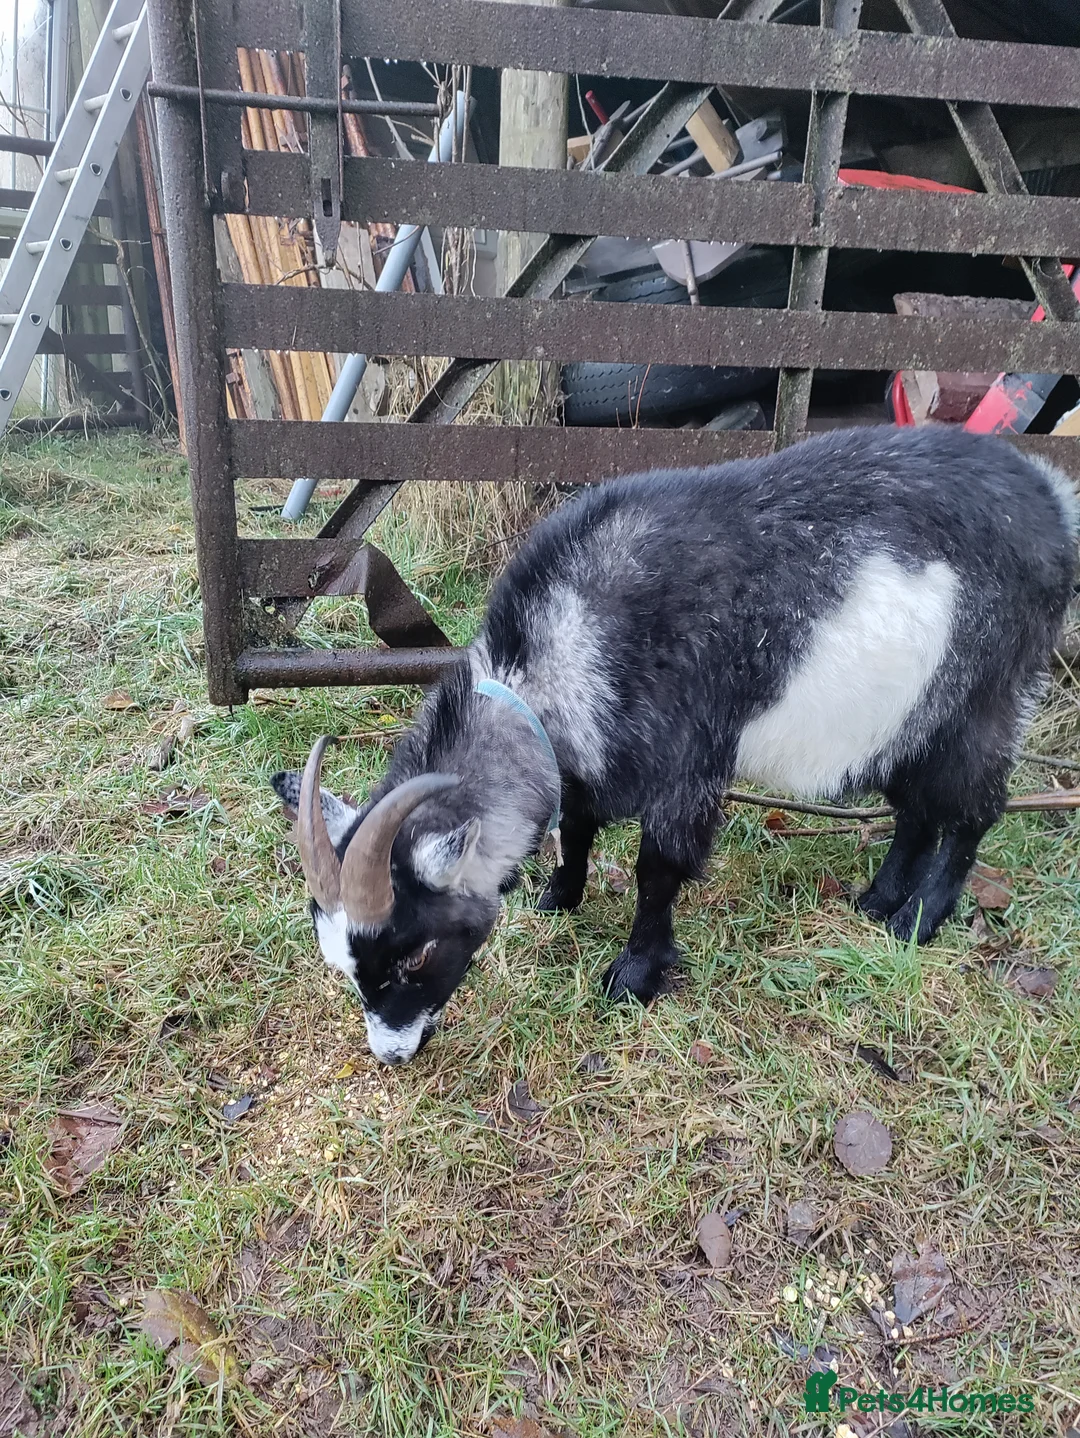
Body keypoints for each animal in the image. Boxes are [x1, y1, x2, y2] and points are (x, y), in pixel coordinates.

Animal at [271, 426, 1077, 1065]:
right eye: (343, 964)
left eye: (416, 953)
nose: (393, 1053)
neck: (564, 644)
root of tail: (1049, 497)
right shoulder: (594, 757)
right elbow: (577, 823)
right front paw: (559, 897)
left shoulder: (686, 767)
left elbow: (657, 871)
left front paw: (634, 977)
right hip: (901, 718)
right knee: (915, 809)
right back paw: (878, 901)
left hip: (982, 695)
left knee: (972, 810)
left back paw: (919, 919)